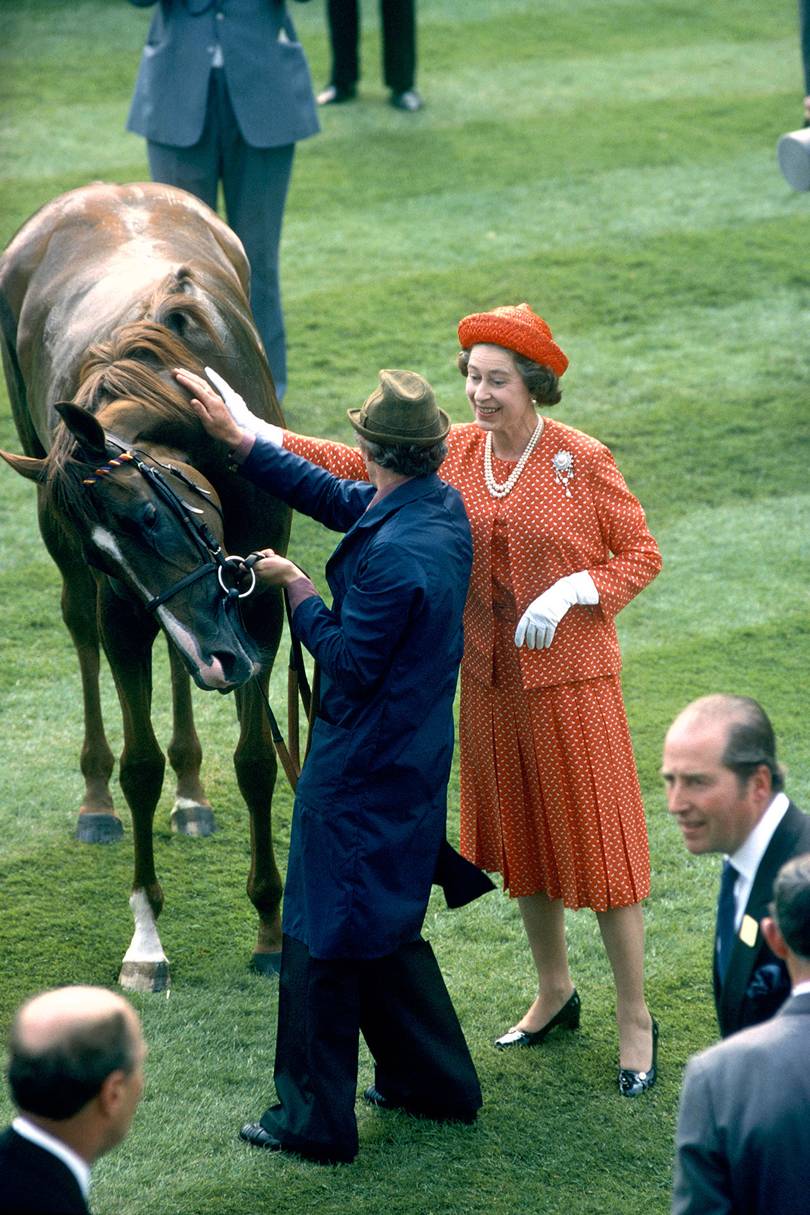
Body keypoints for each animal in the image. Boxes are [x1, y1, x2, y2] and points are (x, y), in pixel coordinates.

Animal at [0, 184, 290, 991]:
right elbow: (139, 765)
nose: (222, 659)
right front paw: (147, 941)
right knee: (83, 634)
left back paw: (193, 791)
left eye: (149, 514)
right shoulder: (125, 609)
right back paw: (96, 799)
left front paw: (270, 927)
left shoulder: (257, 604)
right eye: (106, 561)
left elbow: (256, 761)